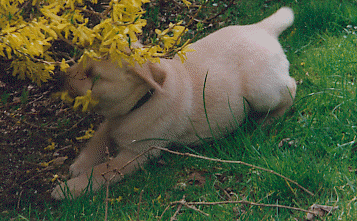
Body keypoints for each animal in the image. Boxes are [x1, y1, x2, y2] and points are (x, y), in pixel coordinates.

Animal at [50, 7, 294, 200]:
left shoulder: (136, 154)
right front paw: (80, 165)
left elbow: (103, 170)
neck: (142, 101)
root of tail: (262, 28)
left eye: (93, 75)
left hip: (262, 91)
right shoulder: (112, 121)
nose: (58, 80)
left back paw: (266, 122)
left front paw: (69, 188)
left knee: (290, 89)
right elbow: (97, 140)